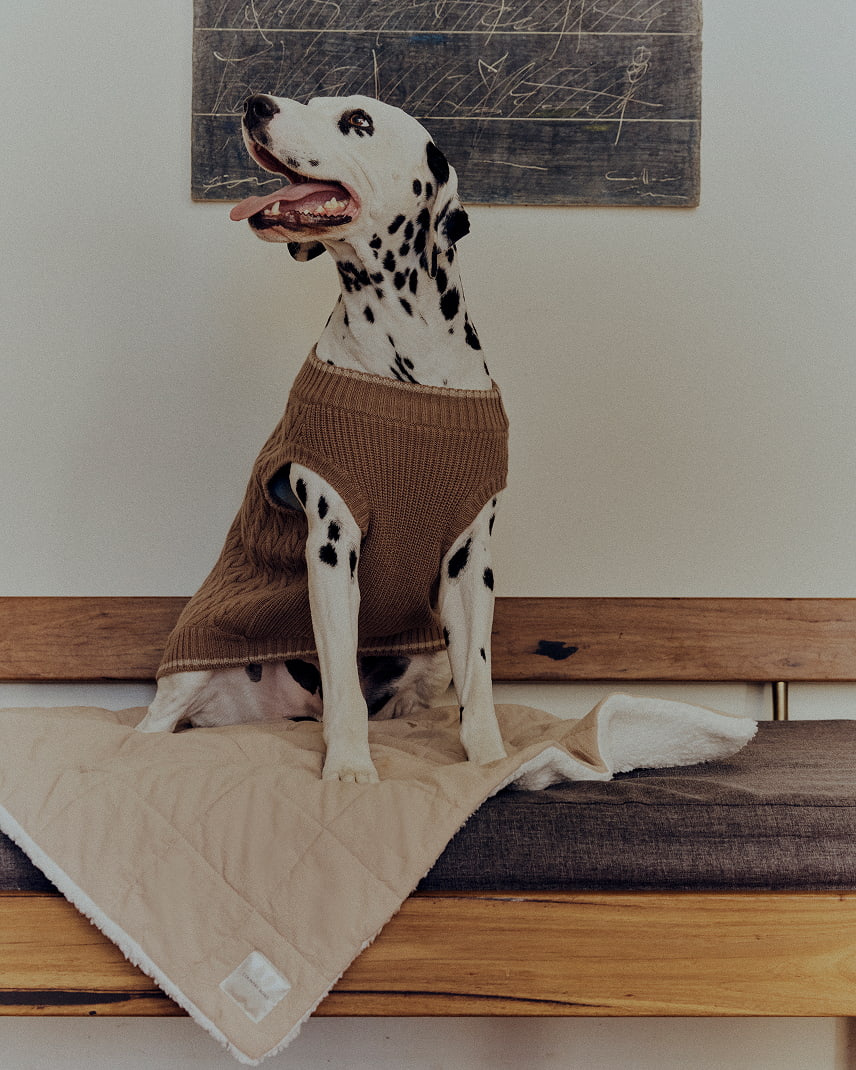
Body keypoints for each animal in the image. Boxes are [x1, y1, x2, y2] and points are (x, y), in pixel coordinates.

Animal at [137, 94, 509, 783]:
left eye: (357, 121)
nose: (254, 104)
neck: (406, 354)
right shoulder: (332, 546)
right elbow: (342, 684)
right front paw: (350, 769)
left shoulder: (472, 562)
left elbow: (478, 685)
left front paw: (492, 762)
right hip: (193, 659)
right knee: (151, 726)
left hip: (426, 657)